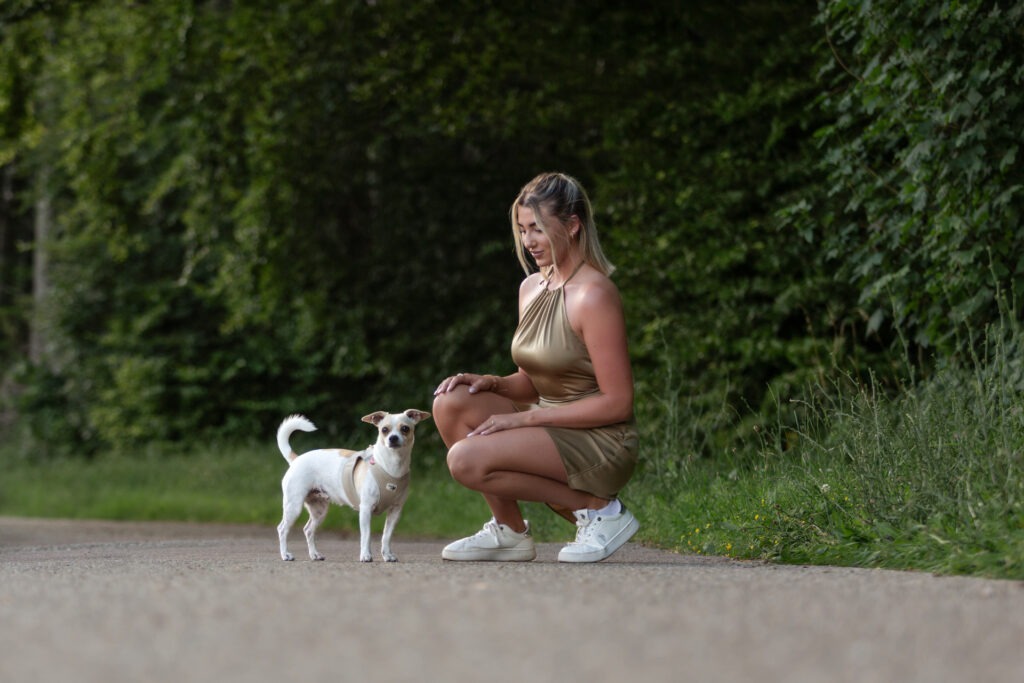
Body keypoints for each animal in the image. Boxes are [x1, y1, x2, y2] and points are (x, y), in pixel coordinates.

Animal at [274, 411, 430, 561]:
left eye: (405, 429)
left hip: (319, 510)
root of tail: (296, 459)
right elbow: (366, 535)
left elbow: (386, 536)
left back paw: (314, 555)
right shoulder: (366, 509)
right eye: (384, 430)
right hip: (293, 506)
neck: (391, 467)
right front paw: (366, 555)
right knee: (282, 529)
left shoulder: (395, 511)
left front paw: (387, 555)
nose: (393, 438)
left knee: (308, 530)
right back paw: (285, 554)